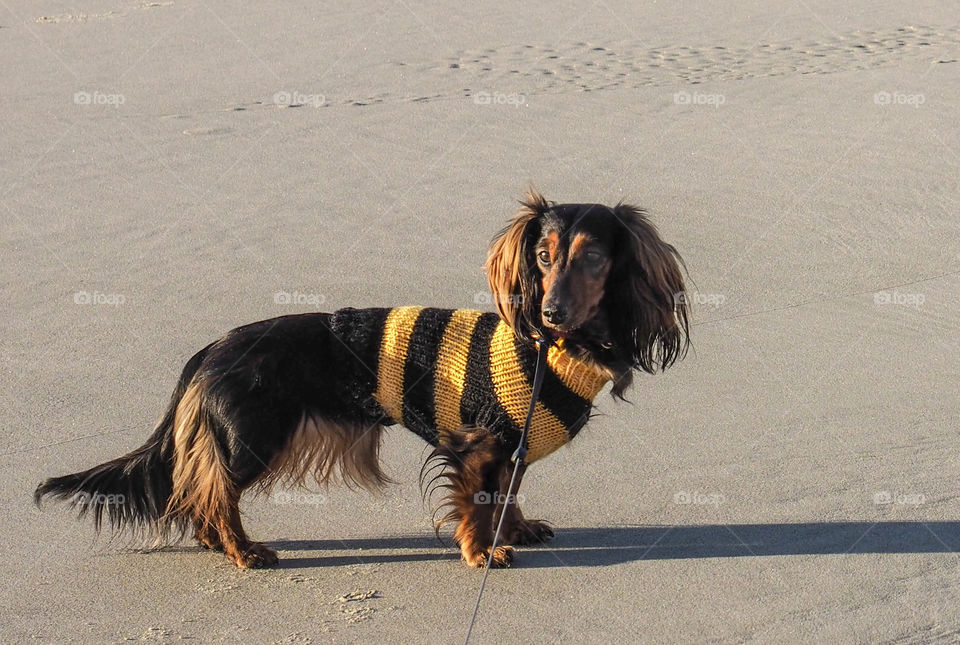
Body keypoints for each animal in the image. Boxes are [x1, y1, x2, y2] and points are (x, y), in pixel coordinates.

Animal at [31, 191, 688, 568]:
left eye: (594, 257)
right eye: (543, 256)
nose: (550, 312)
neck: (550, 351)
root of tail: (212, 349)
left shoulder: (513, 447)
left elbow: (508, 493)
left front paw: (518, 529)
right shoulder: (479, 445)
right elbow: (479, 503)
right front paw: (481, 552)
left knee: (199, 495)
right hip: (253, 441)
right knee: (216, 496)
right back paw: (243, 551)